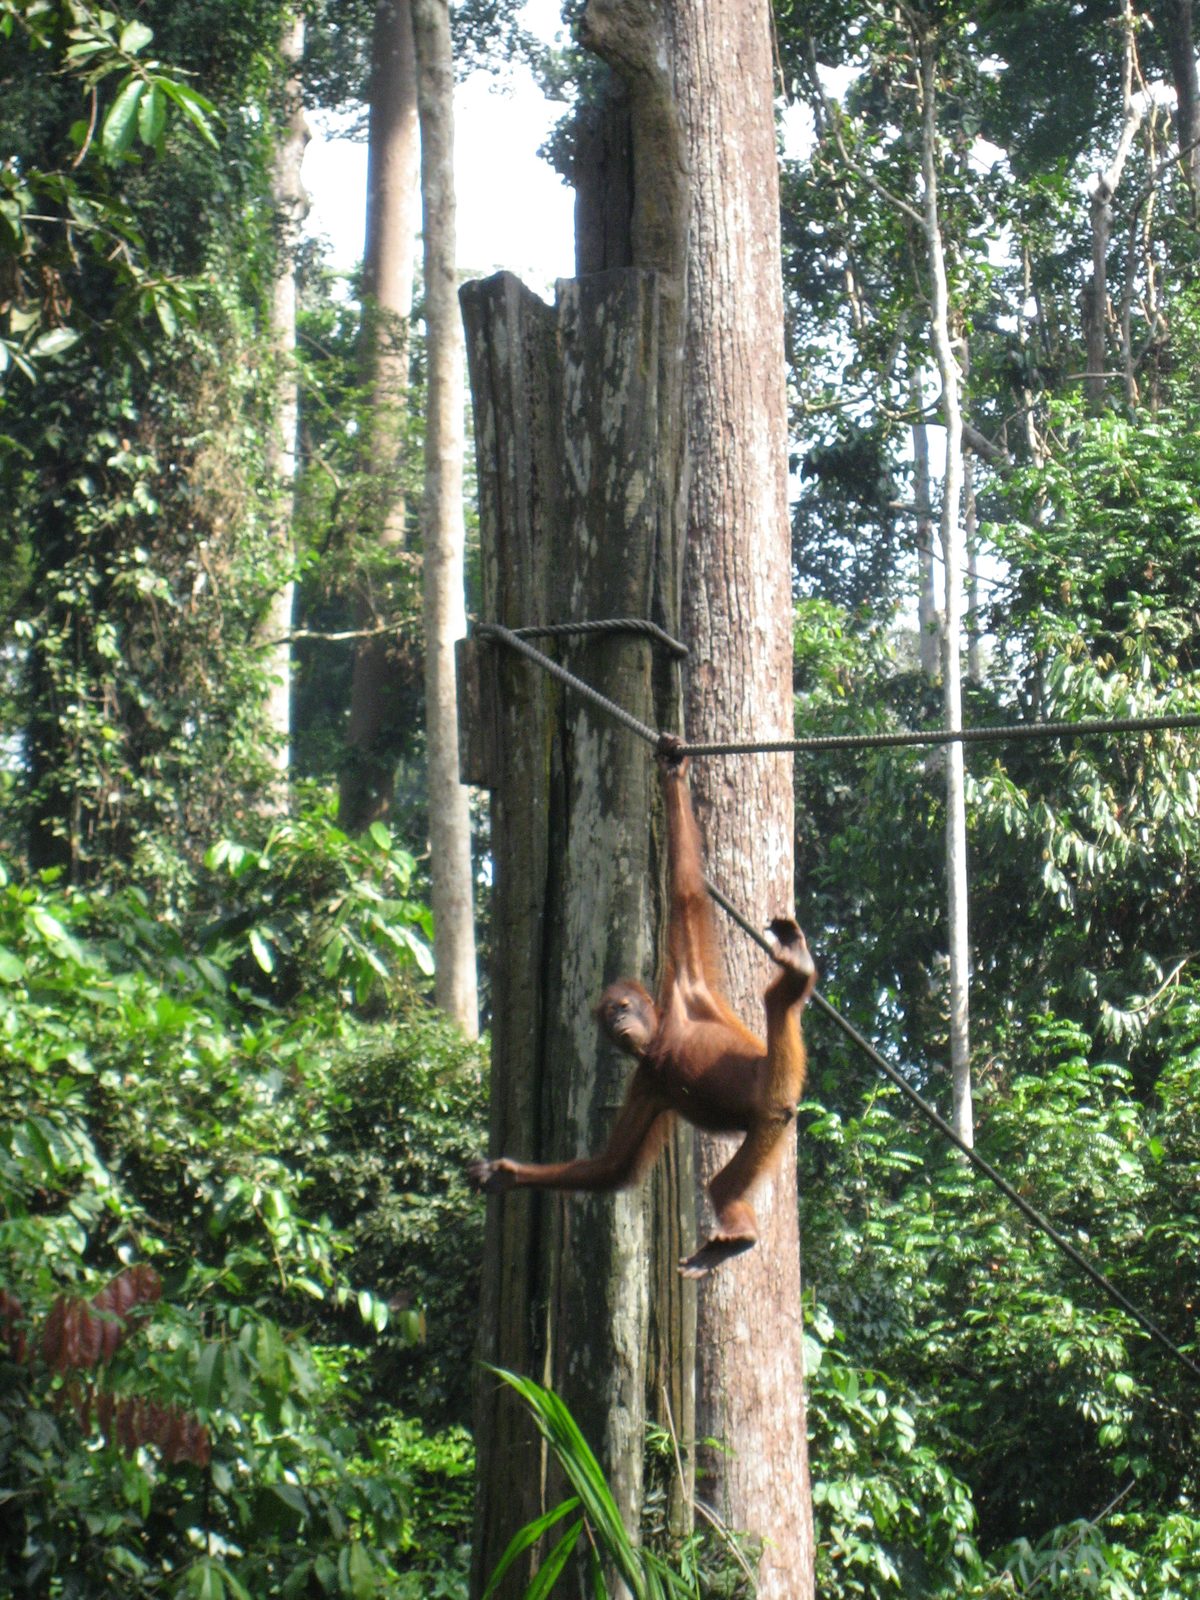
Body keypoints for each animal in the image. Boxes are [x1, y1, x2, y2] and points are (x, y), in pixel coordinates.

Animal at [467, 747, 816, 1278]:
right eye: (611, 1018)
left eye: (625, 1007)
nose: (620, 1022)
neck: (661, 1045)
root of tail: (780, 1105)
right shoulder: (648, 1084)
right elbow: (615, 1166)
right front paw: (506, 1175)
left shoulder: (683, 991)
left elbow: (687, 895)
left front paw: (673, 773)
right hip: (768, 1130)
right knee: (724, 1185)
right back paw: (729, 1241)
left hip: (778, 1078)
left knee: (777, 1008)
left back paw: (796, 970)